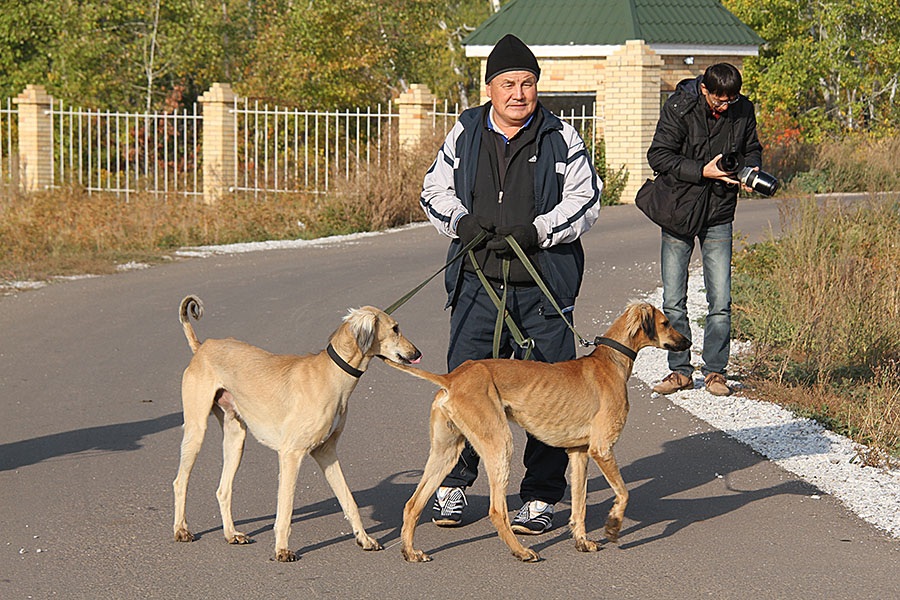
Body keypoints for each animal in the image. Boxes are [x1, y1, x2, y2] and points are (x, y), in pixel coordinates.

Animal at [173, 296, 422, 564]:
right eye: (395, 328)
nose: (417, 353)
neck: (332, 374)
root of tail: (202, 347)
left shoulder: (326, 452)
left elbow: (348, 500)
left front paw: (364, 538)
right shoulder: (291, 454)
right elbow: (286, 508)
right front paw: (282, 549)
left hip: (236, 436)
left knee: (223, 489)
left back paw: (231, 534)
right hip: (196, 429)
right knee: (180, 481)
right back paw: (181, 530)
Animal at [384, 304, 688, 564]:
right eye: (666, 323)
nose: (688, 342)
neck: (609, 362)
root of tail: (452, 378)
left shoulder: (579, 453)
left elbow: (579, 505)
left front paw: (582, 541)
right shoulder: (602, 448)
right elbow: (623, 493)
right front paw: (613, 526)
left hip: (446, 452)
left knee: (413, 504)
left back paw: (410, 551)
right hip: (499, 444)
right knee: (496, 511)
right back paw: (521, 551)